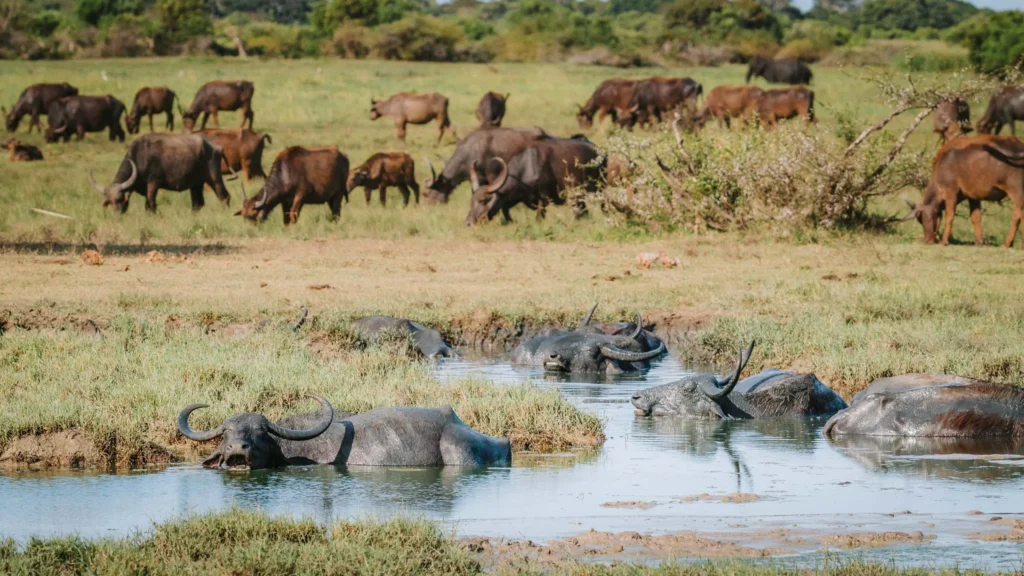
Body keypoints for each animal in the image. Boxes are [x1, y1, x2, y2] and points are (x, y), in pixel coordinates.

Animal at [88, 133, 231, 213]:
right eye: (110, 202)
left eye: (119, 199)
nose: (116, 214)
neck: (140, 156)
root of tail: (216, 147)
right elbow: (147, 203)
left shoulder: (153, 183)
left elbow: (151, 202)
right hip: (196, 184)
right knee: (197, 203)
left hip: (214, 178)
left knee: (224, 196)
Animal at [466, 134, 604, 224]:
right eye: (471, 201)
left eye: (483, 200)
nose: (468, 222)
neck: (528, 167)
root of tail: (601, 152)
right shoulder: (514, 198)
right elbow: (505, 210)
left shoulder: (543, 199)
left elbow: (538, 218)